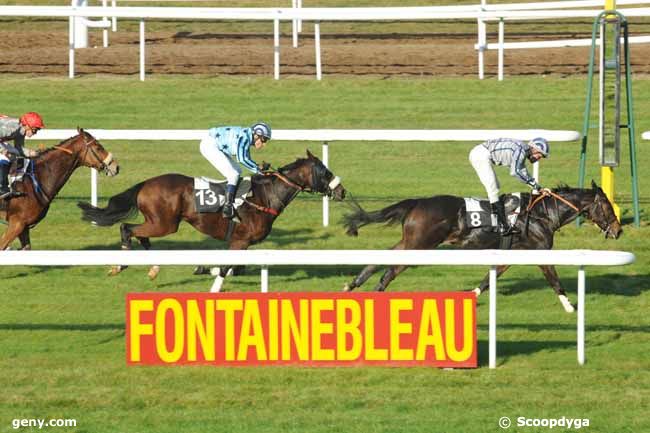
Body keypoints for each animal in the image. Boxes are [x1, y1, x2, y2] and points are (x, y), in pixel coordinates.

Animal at [342, 181, 620, 312]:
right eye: (608, 206)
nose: (618, 230)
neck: (541, 213)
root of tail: (417, 202)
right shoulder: (541, 251)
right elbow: (554, 279)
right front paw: (571, 307)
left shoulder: (511, 254)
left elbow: (490, 277)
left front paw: (472, 297)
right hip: (420, 245)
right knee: (390, 270)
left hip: (409, 241)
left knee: (381, 259)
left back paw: (352, 285)